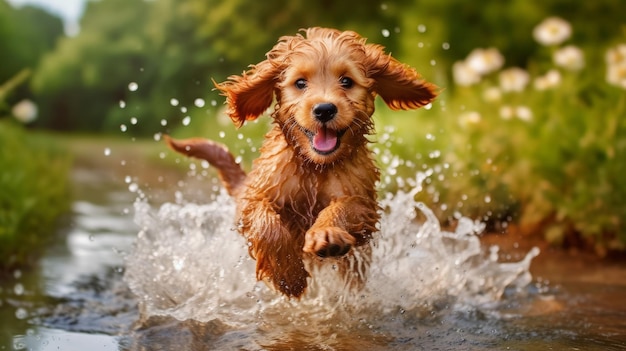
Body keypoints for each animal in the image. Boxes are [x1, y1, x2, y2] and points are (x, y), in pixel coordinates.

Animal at [167, 27, 438, 298]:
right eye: (300, 83)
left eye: (346, 81)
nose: (325, 109)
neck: (314, 167)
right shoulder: (255, 197)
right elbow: (266, 224)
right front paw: (289, 275)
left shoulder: (364, 203)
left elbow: (345, 207)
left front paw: (327, 233)